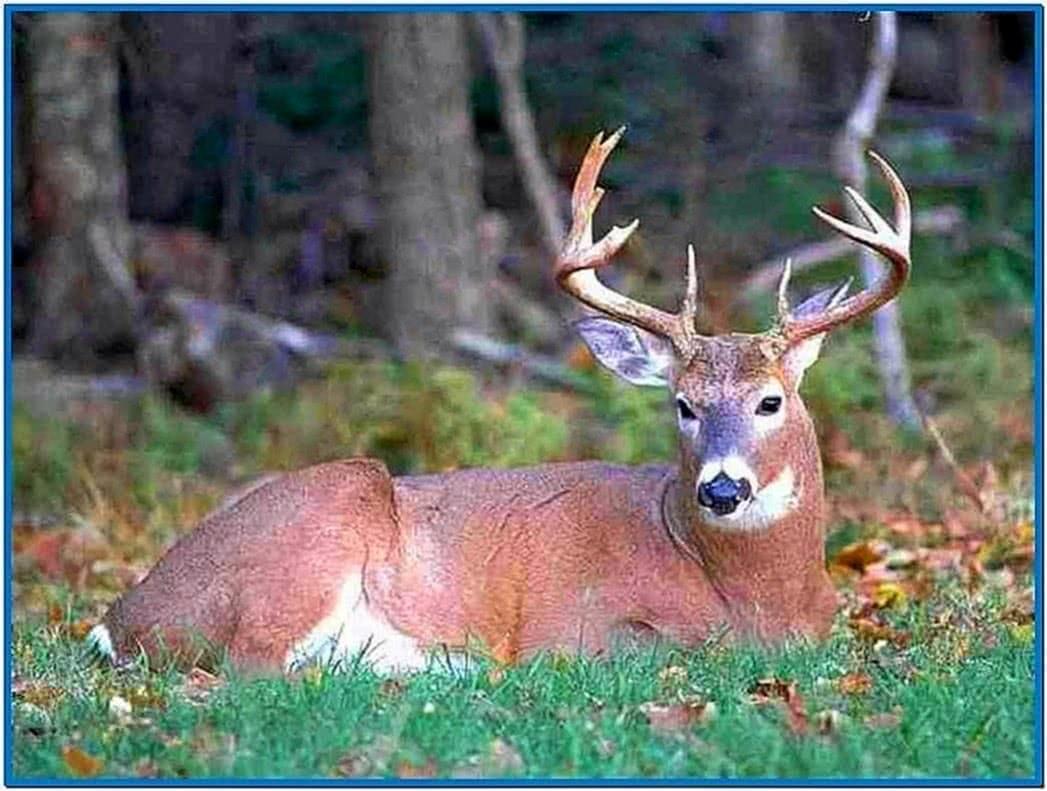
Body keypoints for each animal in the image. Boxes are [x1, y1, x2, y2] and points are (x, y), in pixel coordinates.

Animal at [88, 128, 911, 676]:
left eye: (770, 400)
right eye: (682, 403)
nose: (720, 488)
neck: (760, 597)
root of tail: (118, 620)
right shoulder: (577, 624)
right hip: (327, 511)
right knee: (250, 668)